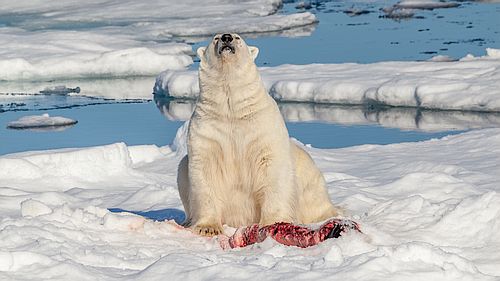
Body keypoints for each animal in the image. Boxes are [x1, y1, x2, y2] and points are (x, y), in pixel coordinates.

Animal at [176, 32, 340, 235]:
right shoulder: (207, 132)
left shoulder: (262, 129)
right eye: (215, 38)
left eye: (238, 37)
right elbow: (205, 172)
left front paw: (272, 222)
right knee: (182, 168)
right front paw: (208, 228)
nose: (227, 37)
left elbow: (271, 169)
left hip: (310, 181)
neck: (232, 110)